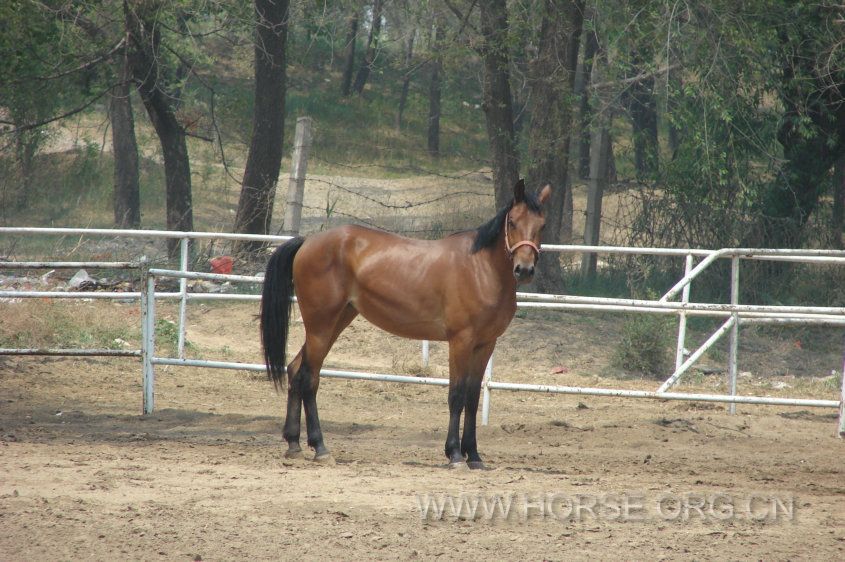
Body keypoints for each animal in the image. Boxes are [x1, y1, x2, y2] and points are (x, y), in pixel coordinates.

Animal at [264, 179, 552, 468]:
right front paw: (455, 454)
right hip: (320, 326)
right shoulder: (461, 341)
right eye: (512, 222)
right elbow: (456, 395)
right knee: (309, 378)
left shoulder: (485, 344)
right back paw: (320, 448)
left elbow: (472, 398)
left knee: (295, 370)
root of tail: (308, 241)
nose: (524, 270)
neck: (481, 269)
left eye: (542, 225)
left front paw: (474, 455)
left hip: (336, 322)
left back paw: (294, 444)